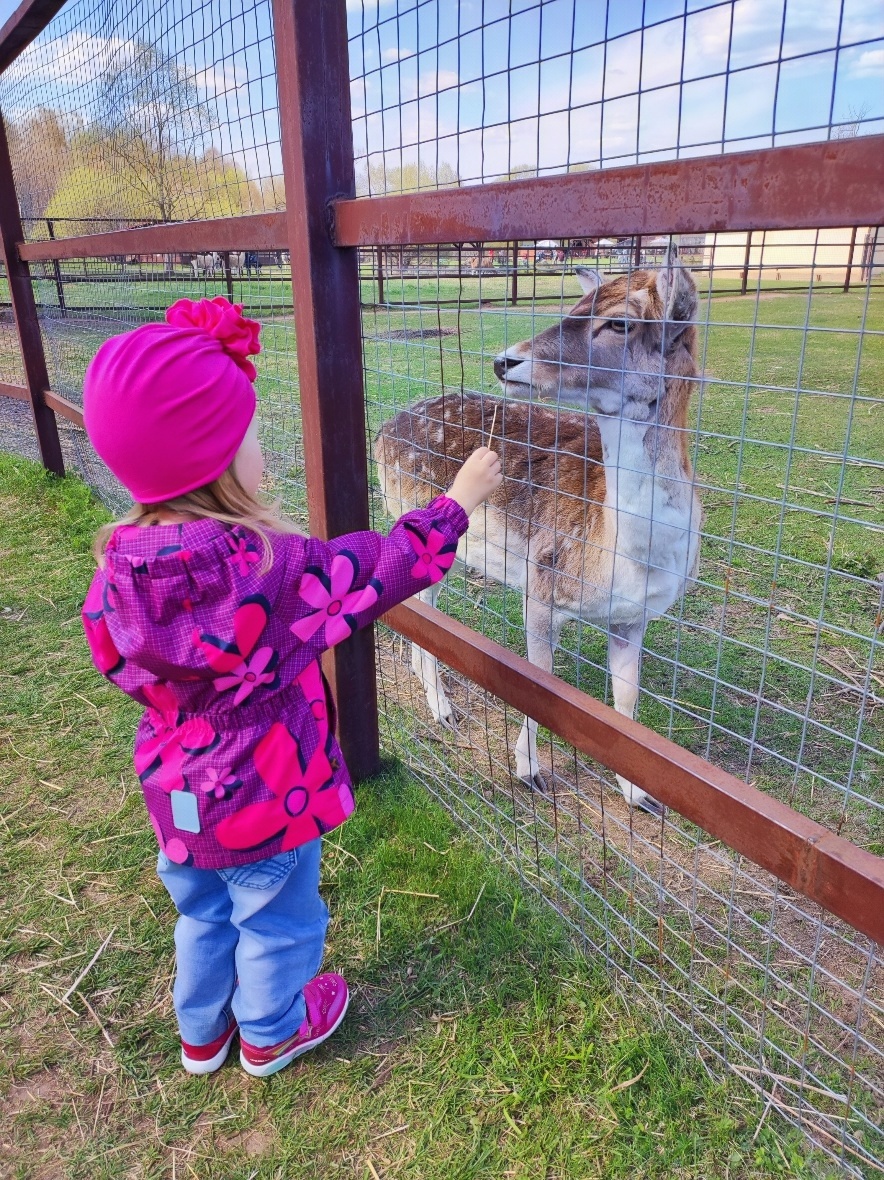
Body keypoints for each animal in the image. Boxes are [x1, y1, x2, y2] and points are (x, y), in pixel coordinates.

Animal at [375, 246, 698, 821]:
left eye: (620, 322)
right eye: (574, 305)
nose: (505, 361)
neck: (626, 556)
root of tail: (384, 428)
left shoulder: (635, 616)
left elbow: (627, 699)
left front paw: (639, 795)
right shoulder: (542, 585)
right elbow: (540, 682)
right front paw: (529, 772)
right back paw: (443, 709)